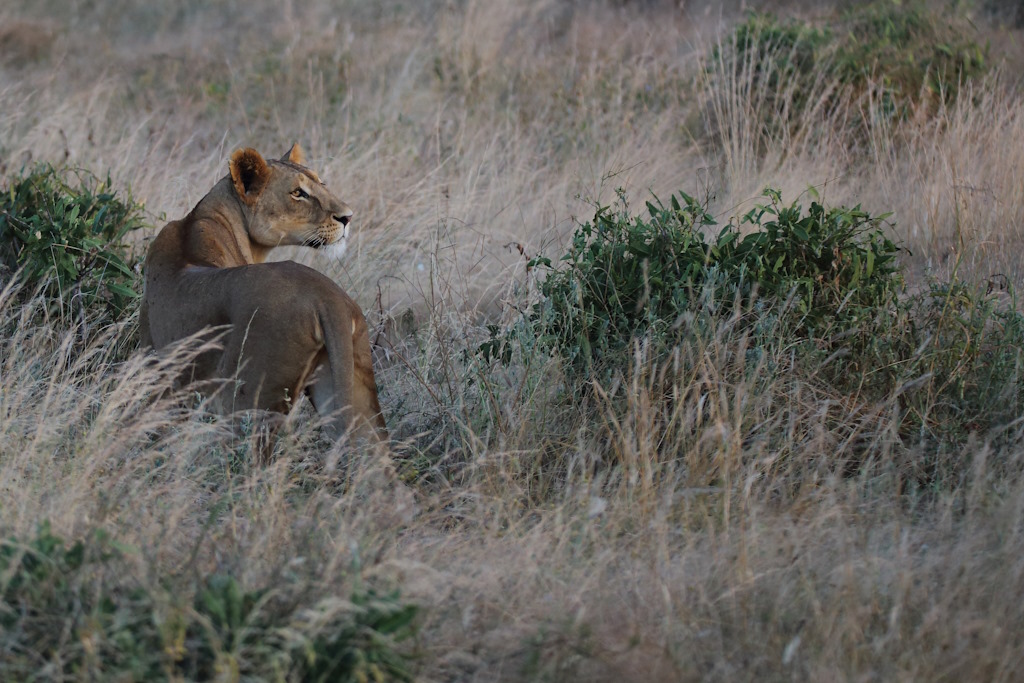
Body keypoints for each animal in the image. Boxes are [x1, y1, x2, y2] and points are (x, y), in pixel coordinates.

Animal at [140, 144, 387, 446]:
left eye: (322, 183)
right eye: (298, 193)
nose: (348, 217)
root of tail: (327, 298)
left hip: (247, 402)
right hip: (350, 385)